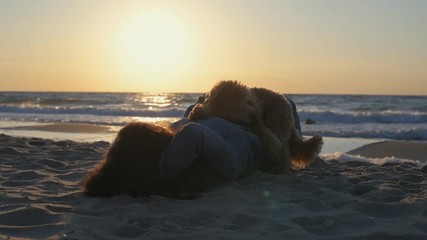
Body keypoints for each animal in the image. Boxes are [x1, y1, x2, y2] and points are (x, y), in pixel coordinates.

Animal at [189, 81, 322, 174]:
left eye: (250, 100)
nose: (255, 113)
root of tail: (285, 101)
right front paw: (195, 113)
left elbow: (268, 136)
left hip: (277, 119)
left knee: (282, 147)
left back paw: (279, 168)